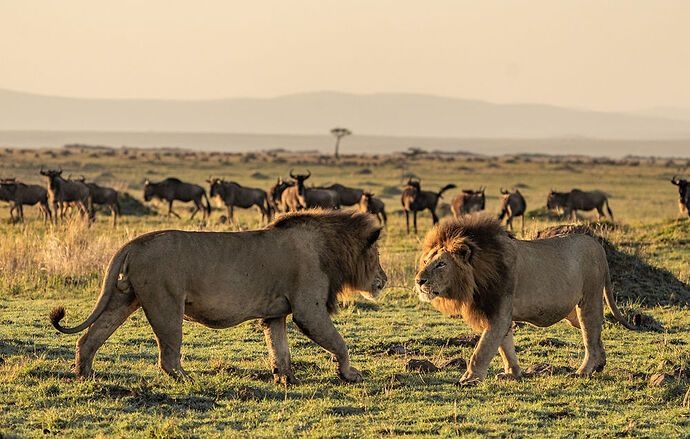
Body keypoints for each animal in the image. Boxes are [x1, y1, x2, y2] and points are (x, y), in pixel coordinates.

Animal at [49, 210, 388, 384]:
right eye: (377, 255)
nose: (384, 281)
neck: (331, 248)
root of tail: (133, 242)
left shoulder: (275, 313)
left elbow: (280, 350)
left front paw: (287, 379)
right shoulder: (308, 309)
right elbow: (339, 342)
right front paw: (350, 374)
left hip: (124, 298)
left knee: (89, 338)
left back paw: (85, 374)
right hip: (166, 304)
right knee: (167, 356)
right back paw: (188, 379)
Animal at [414, 216, 636, 384]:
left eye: (441, 264)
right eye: (425, 261)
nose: (418, 280)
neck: (477, 275)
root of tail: (598, 246)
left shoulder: (499, 313)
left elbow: (482, 350)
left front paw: (468, 380)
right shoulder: (498, 314)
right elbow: (505, 348)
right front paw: (512, 374)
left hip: (589, 299)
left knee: (590, 335)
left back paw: (584, 370)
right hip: (572, 313)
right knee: (595, 334)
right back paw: (600, 364)